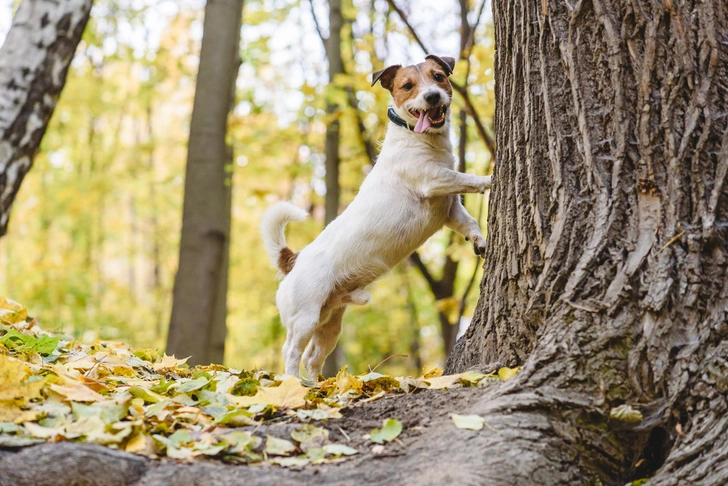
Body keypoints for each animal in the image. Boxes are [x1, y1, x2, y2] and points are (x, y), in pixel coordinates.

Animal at [260, 55, 490, 378]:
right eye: (408, 86)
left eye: (439, 76)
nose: (432, 96)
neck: (420, 138)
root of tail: (293, 260)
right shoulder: (433, 180)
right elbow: (468, 179)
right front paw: (492, 177)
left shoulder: (450, 209)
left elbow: (469, 222)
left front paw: (479, 241)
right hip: (305, 317)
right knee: (291, 351)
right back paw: (291, 383)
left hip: (330, 321)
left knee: (313, 357)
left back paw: (316, 386)